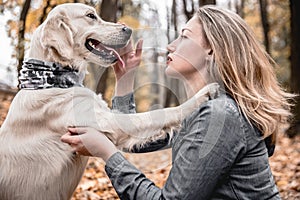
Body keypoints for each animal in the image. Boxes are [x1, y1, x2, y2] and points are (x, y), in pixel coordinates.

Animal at [0, 3, 217, 200]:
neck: (51, 80)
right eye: (90, 16)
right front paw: (202, 95)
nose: (128, 29)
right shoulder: (111, 123)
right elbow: (157, 114)